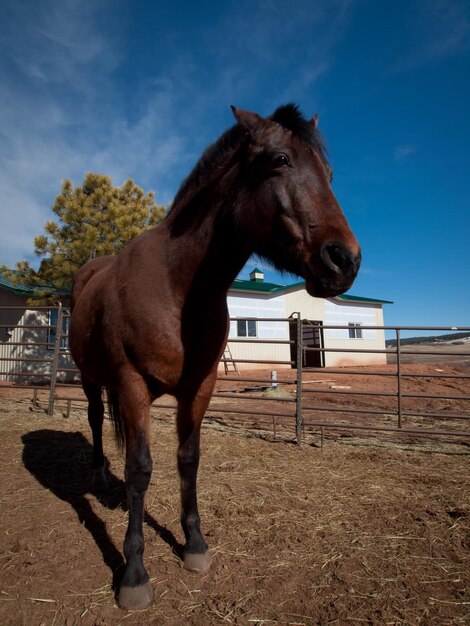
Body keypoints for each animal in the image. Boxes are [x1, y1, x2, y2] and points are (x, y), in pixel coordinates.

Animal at [70, 105, 362, 608]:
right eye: (280, 159)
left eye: (329, 173)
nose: (345, 260)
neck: (175, 285)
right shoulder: (132, 386)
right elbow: (140, 470)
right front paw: (134, 575)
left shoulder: (200, 387)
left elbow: (188, 459)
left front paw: (195, 545)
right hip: (91, 378)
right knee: (92, 419)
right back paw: (101, 477)